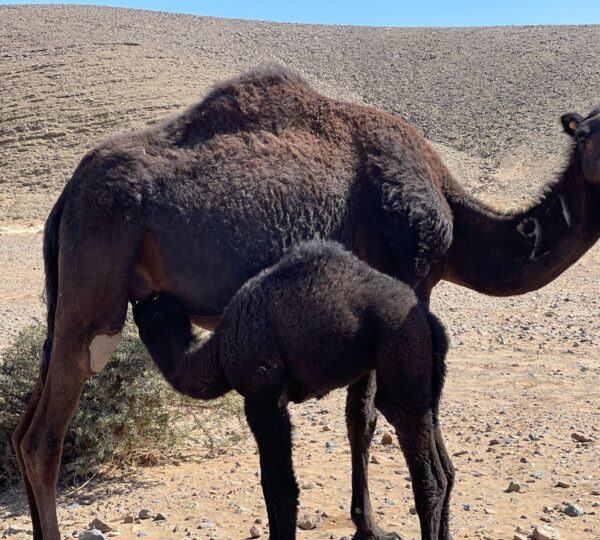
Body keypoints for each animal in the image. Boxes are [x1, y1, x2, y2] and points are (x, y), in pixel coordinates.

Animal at [132, 242, 450, 540]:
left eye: (154, 310)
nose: (136, 304)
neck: (218, 352)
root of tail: (428, 319)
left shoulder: (263, 394)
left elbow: (280, 486)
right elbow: (267, 482)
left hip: (401, 357)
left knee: (428, 475)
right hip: (425, 382)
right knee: (443, 466)